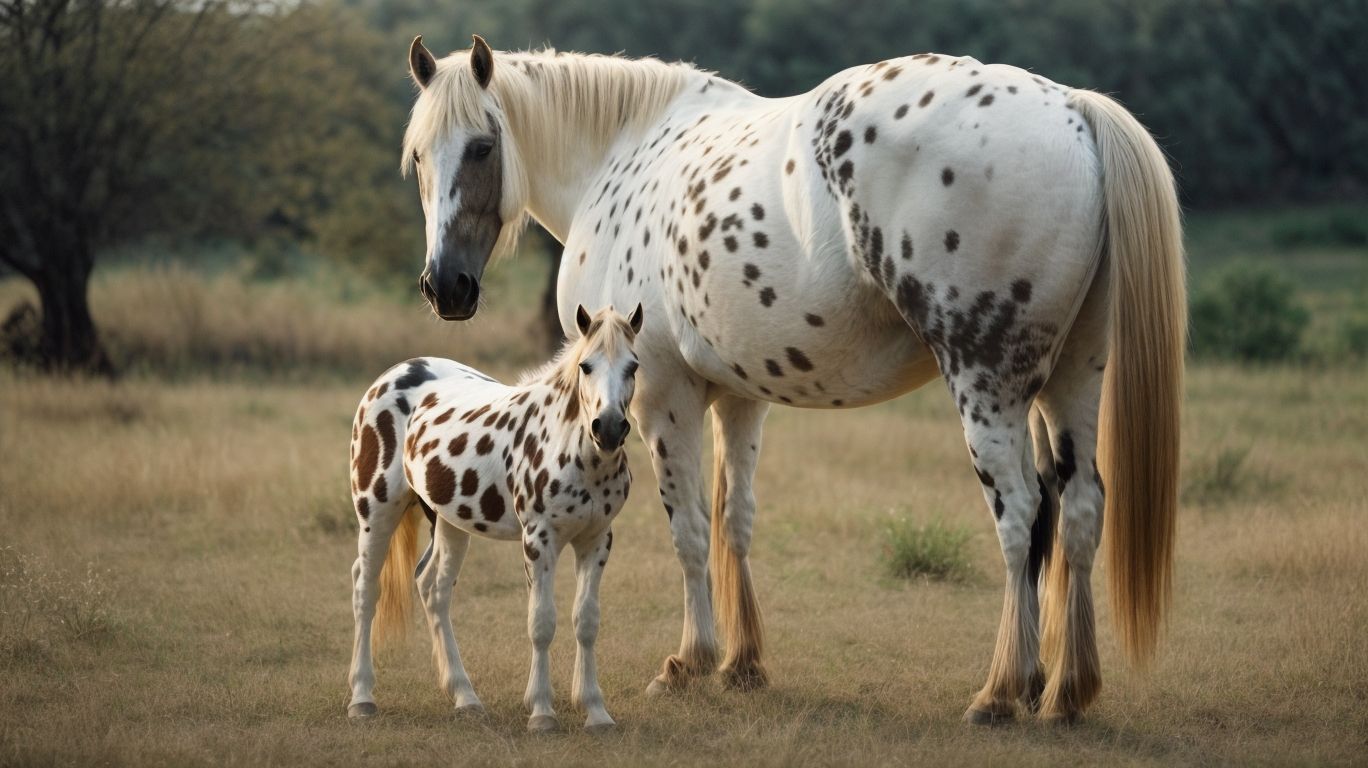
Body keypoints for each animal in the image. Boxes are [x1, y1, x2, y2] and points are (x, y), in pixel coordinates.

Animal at [346, 303, 645, 732]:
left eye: (633, 366)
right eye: (586, 366)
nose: (608, 428)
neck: (577, 452)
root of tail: (393, 375)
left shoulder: (597, 540)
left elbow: (586, 622)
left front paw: (596, 711)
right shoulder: (538, 539)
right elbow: (541, 622)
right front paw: (542, 712)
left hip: (450, 522)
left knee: (433, 589)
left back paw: (465, 696)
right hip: (377, 510)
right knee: (366, 589)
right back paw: (362, 697)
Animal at [398, 35, 1185, 724]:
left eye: (481, 146)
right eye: (416, 158)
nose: (444, 286)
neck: (621, 156)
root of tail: (1073, 111)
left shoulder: (659, 399)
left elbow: (688, 530)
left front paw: (689, 662)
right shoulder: (741, 400)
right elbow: (734, 518)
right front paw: (741, 662)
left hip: (987, 386)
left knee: (1022, 515)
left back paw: (1001, 691)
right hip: (1071, 384)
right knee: (1079, 511)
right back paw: (1066, 692)